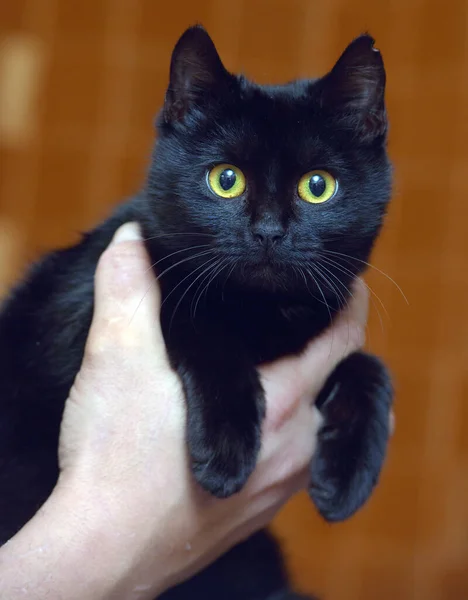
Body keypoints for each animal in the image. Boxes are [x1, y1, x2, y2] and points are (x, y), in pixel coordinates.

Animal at [0, 25, 394, 596]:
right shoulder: (83, 307)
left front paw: (349, 477)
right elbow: (195, 322)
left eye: (318, 186)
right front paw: (226, 453)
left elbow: (370, 366)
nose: (269, 232)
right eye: (225, 180)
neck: (261, 315)